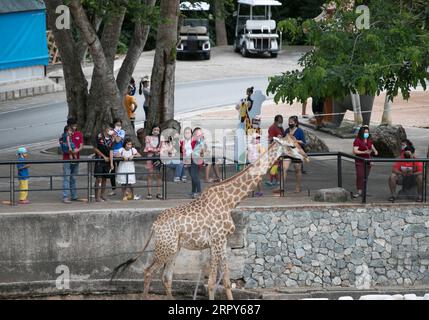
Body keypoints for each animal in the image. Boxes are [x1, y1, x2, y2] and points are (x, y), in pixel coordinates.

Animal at [110, 135, 308, 300]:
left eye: (298, 143)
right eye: (291, 146)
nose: (306, 157)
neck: (230, 201)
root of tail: (154, 226)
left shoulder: (222, 241)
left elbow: (226, 280)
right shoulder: (216, 240)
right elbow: (212, 283)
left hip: (174, 248)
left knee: (166, 277)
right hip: (165, 247)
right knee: (148, 272)